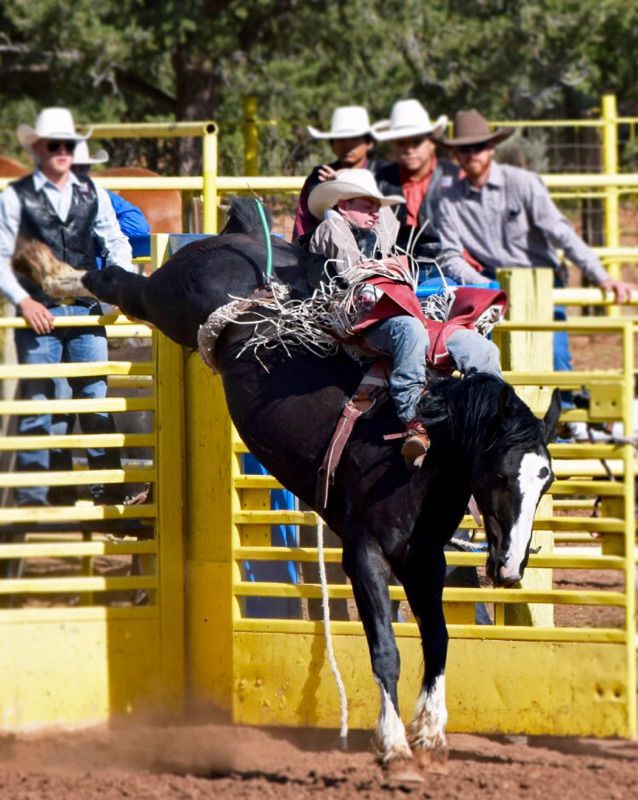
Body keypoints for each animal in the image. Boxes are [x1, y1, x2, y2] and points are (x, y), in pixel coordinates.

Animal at [15, 202, 564, 776]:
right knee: (119, 283)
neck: (419, 457)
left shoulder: (424, 560)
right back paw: (51, 270)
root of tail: (247, 248)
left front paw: (432, 735)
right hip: (166, 299)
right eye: (499, 476)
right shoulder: (364, 553)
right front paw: (392, 743)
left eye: (545, 481)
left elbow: (437, 640)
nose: (510, 568)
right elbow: (386, 649)